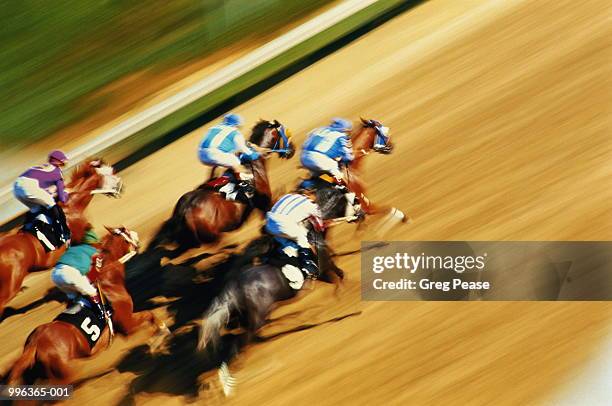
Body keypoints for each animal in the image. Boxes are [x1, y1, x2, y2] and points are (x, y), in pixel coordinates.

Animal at [5, 227, 167, 386]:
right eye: (125, 231)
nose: (136, 235)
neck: (107, 277)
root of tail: (34, 345)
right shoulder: (127, 324)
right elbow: (149, 314)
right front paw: (160, 333)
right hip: (65, 374)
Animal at [147, 119, 292, 251]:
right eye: (285, 133)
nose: (292, 150)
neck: (253, 165)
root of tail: (185, 211)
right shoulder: (264, 203)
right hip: (215, 238)